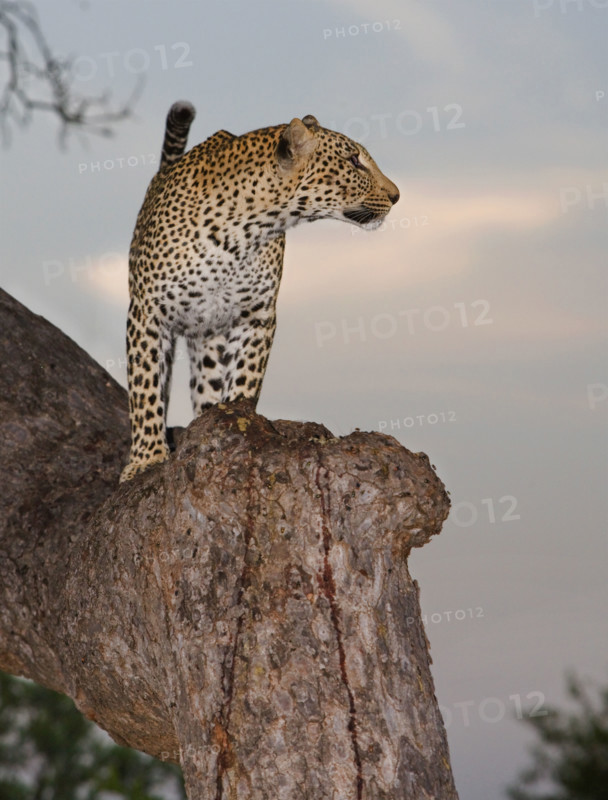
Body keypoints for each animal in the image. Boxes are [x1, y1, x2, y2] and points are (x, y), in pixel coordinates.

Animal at [120, 100, 399, 482]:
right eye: (354, 161)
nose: (396, 196)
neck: (245, 231)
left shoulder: (257, 316)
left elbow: (244, 378)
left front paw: (236, 420)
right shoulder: (147, 312)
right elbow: (145, 388)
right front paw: (147, 458)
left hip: (207, 338)